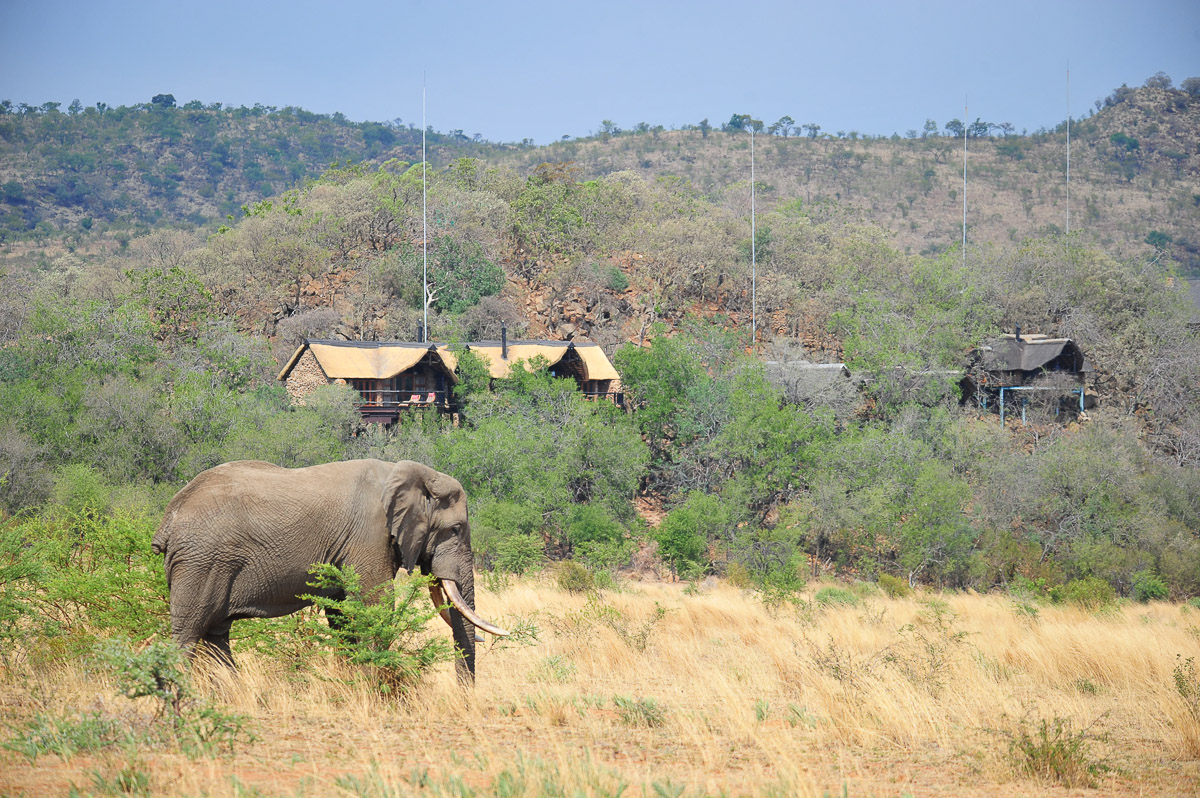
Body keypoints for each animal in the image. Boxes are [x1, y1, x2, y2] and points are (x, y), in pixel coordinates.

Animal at [151, 459, 508, 682]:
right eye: (456, 530)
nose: (465, 698)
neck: (407, 472)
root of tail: (169, 516)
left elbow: (343, 614)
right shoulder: (369, 535)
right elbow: (374, 606)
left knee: (216, 637)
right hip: (201, 562)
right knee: (188, 635)